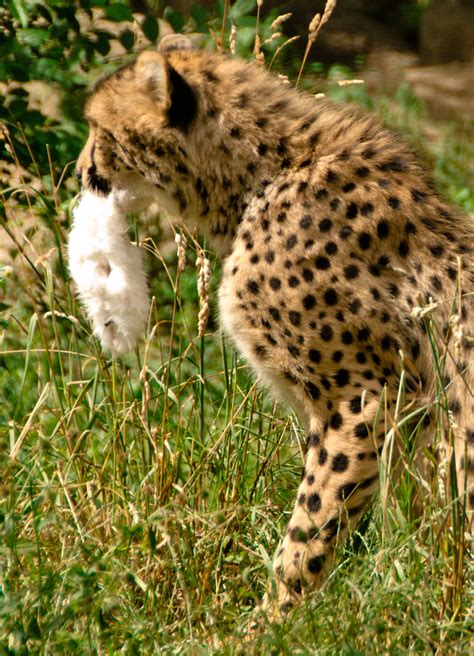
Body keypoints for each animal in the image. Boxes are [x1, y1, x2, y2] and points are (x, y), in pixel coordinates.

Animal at [76, 37, 472, 616]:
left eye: (98, 129)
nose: (80, 170)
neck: (262, 174)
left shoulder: (365, 399)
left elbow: (310, 528)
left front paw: (270, 621)